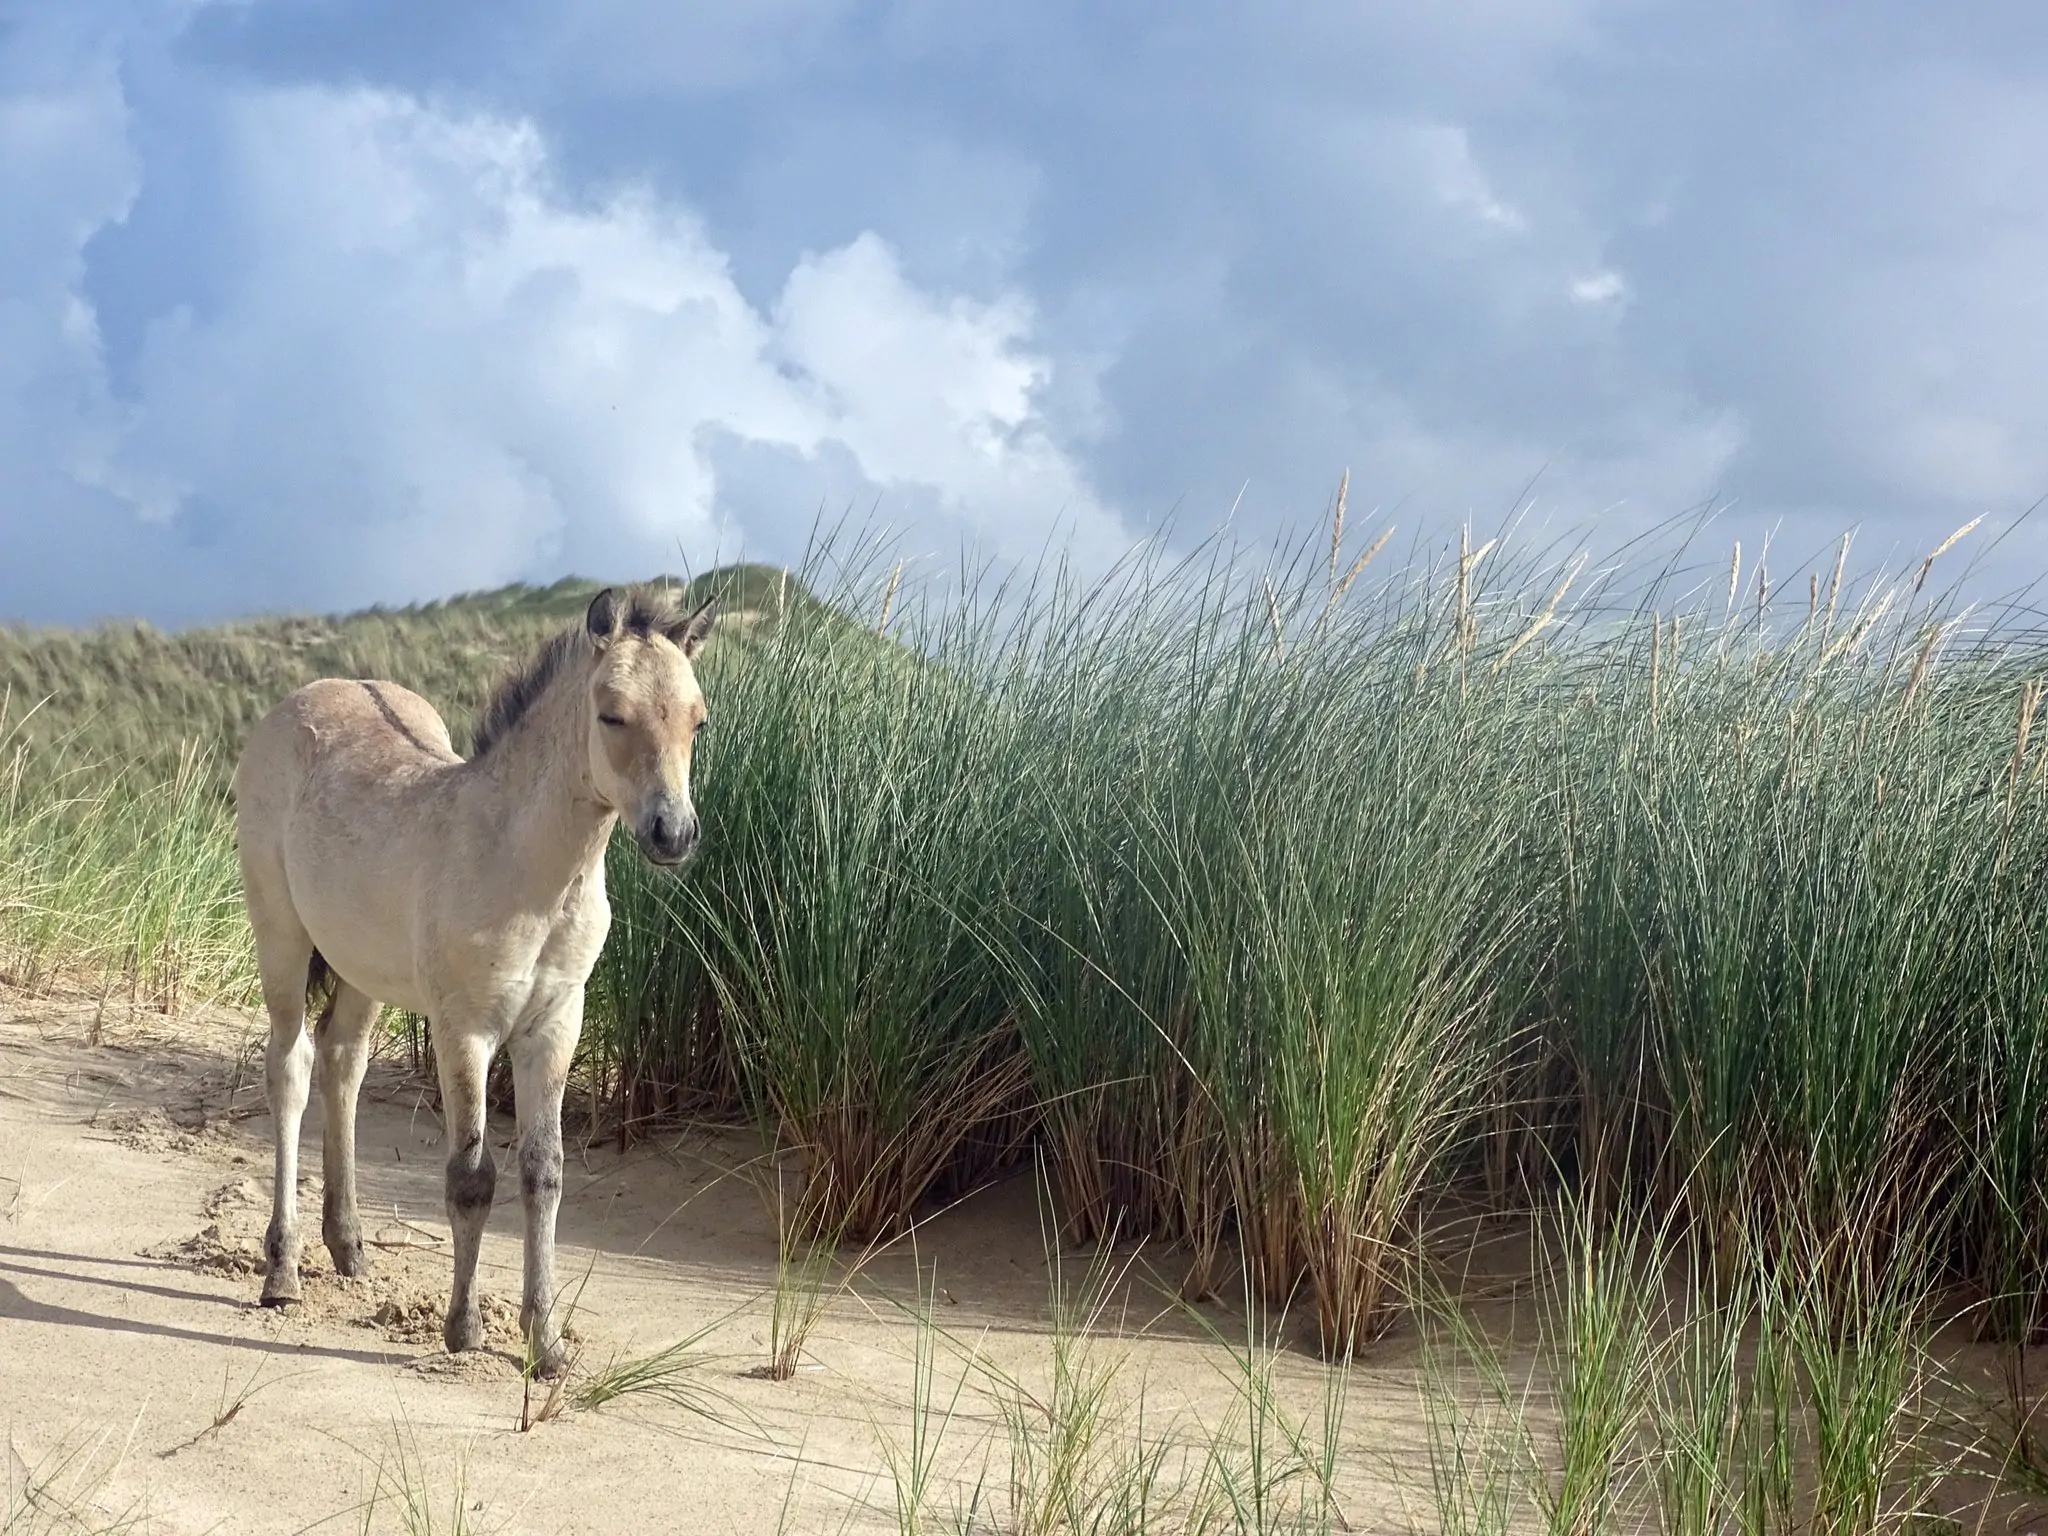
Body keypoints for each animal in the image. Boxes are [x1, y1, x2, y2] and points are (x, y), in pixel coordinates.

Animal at [234, 581, 716, 1376]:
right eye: (611, 712)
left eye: (697, 720)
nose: (671, 834)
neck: (525, 868)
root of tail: (303, 697)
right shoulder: (466, 1029)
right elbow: (470, 1179)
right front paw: (464, 1330)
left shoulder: (554, 1027)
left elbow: (544, 1174)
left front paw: (547, 1343)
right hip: (281, 938)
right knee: (291, 1067)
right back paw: (283, 1271)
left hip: (363, 968)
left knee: (343, 1063)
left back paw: (351, 1248)